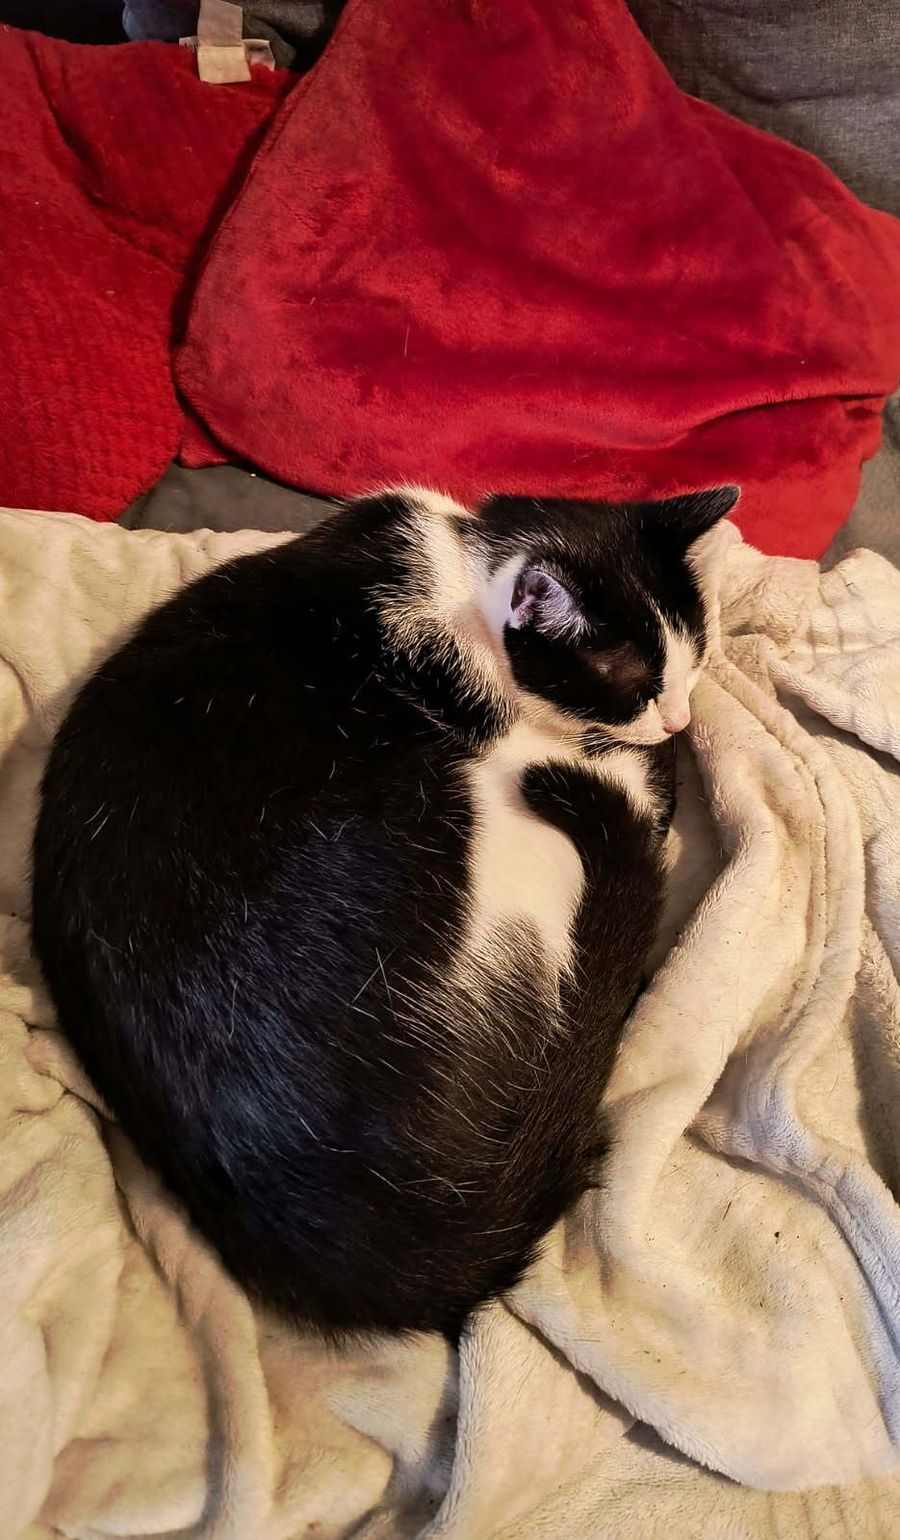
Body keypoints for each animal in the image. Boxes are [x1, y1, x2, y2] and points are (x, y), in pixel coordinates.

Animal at [31, 482, 737, 1338]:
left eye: (693, 659)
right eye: (632, 679)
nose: (676, 722)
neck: (459, 568)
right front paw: (636, 763)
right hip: (472, 820)